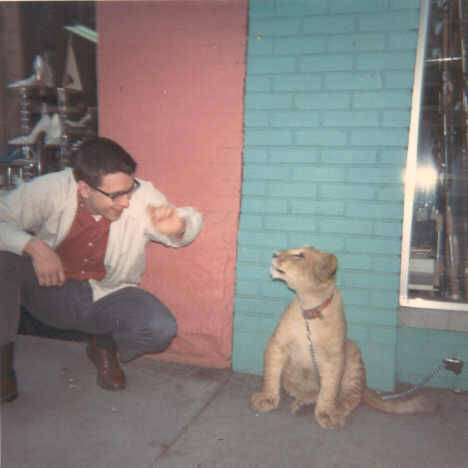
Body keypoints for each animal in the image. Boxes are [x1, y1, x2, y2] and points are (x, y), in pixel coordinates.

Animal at [250, 246, 438, 430]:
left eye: (300, 256)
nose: (274, 254)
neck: (310, 307)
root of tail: (365, 388)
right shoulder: (277, 343)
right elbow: (271, 373)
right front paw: (266, 399)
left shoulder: (334, 356)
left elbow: (329, 389)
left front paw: (326, 414)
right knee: (313, 393)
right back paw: (302, 403)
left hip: (353, 353)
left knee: (349, 399)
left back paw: (334, 410)